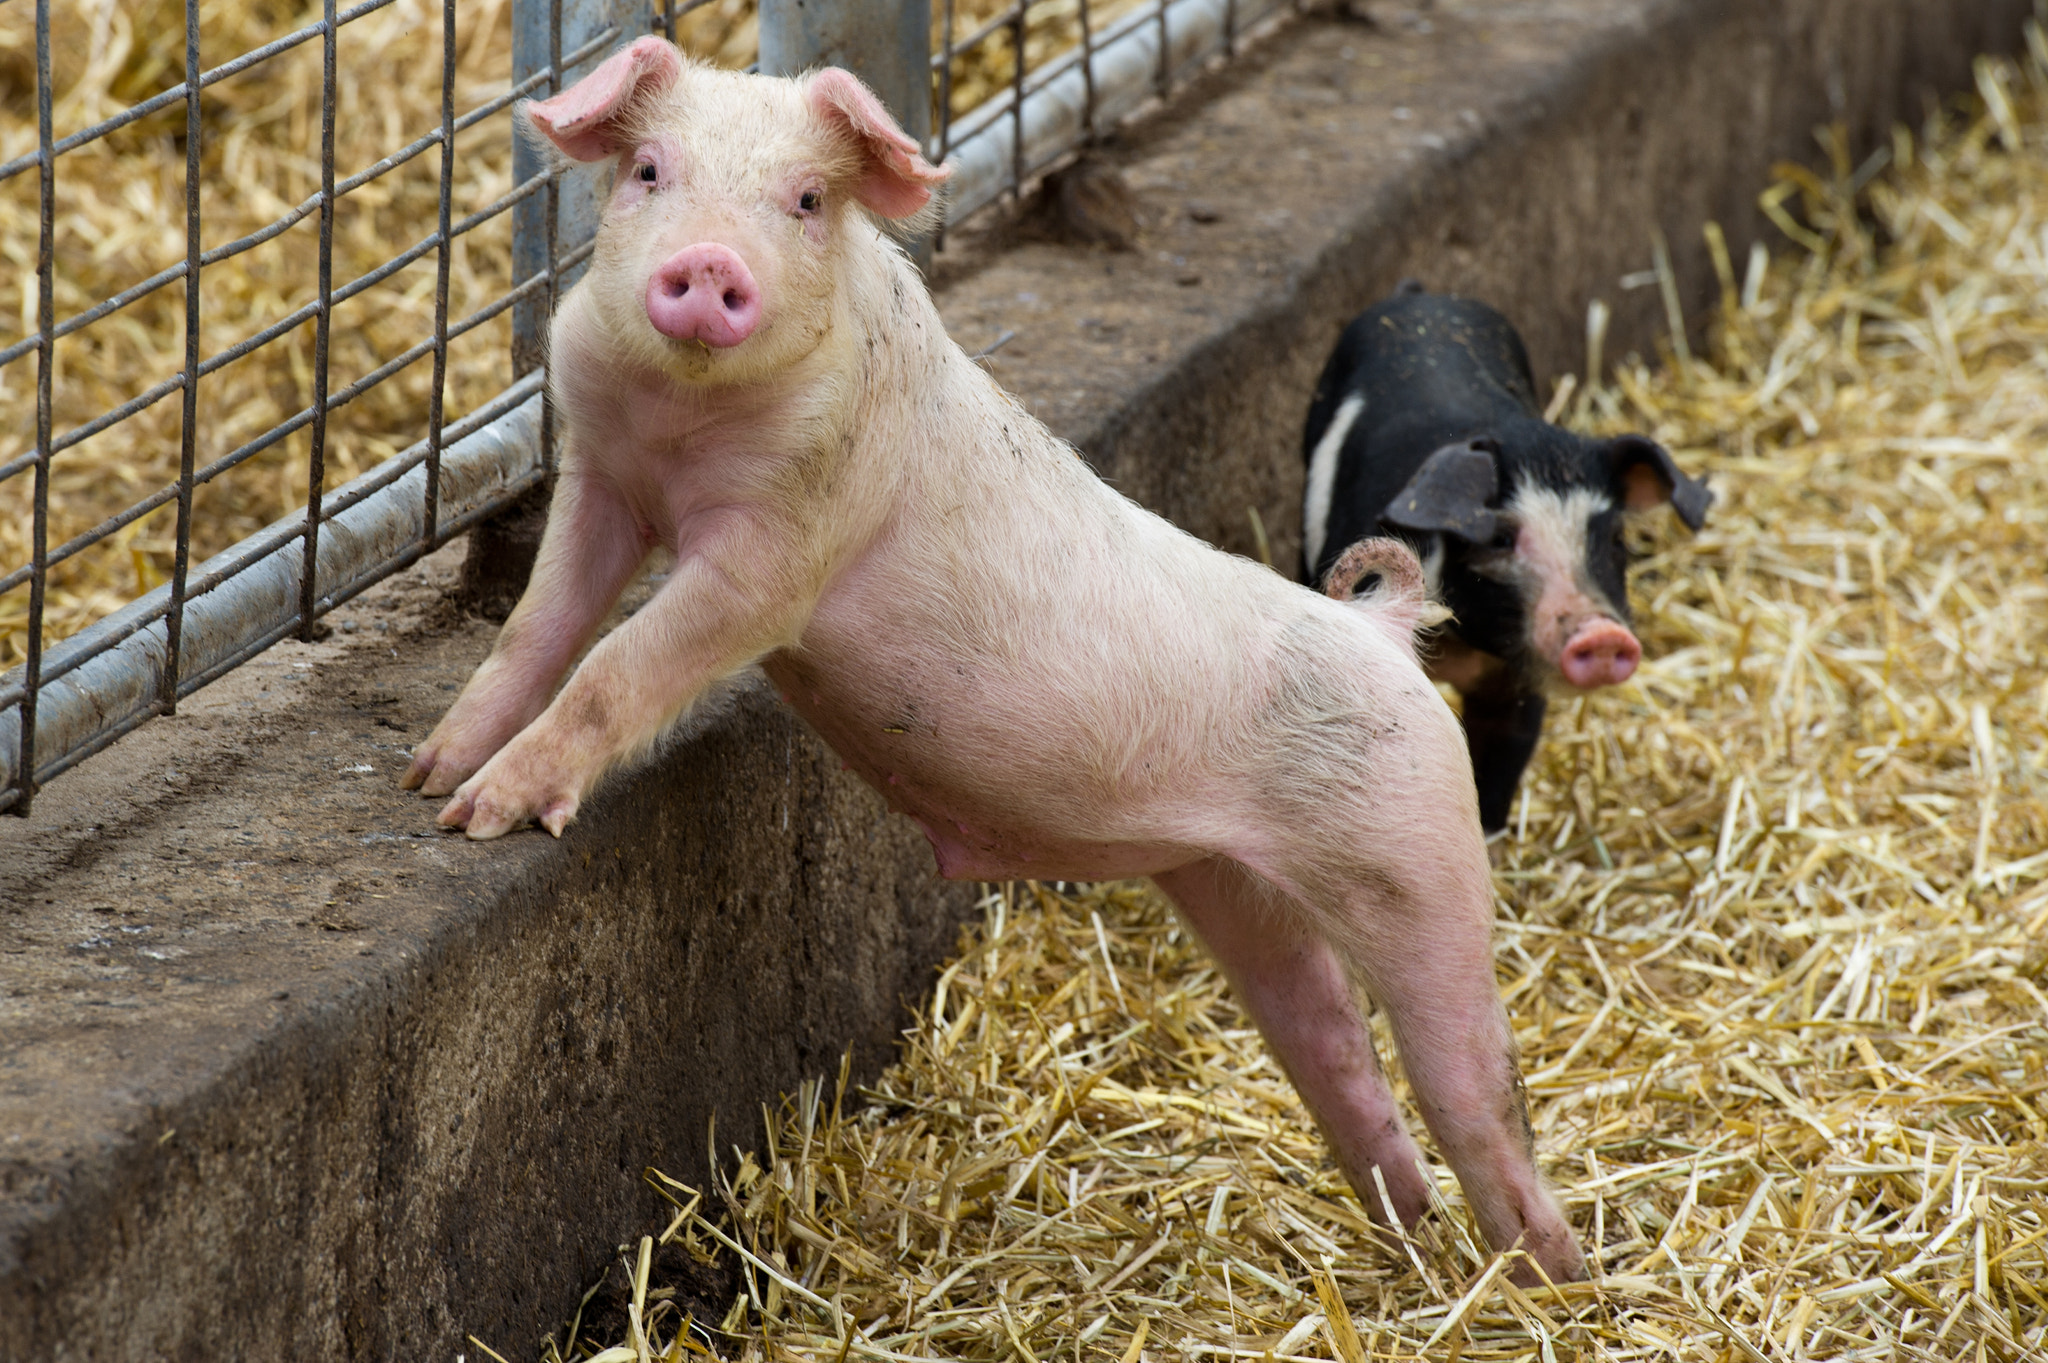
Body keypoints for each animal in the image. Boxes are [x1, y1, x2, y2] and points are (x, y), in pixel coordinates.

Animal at [400, 39, 1585, 1285]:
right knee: (1338, 1057)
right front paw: (433, 774)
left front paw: (481, 817)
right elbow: (539, 623)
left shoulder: (787, 543)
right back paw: (1408, 1248)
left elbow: (625, 661)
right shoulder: (600, 478)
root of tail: (1380, 631)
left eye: (807, 201)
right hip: (1234, 885)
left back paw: (1545, 1286)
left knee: (1474, 1088)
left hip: (1412, 849)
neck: (681, 428)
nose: (707, 264)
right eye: (645, 170)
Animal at [1301, 284, 1710, 833]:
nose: (1601, 632)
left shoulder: (1516, 690)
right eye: (1498, 538)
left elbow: (1493, 785)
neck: (1461, 649)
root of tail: (1420, 293)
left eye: (1614, 539)